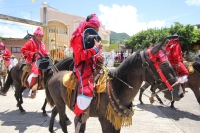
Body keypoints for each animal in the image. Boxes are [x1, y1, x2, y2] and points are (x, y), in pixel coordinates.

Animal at [45, 37, 184, 133]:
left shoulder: (116, 120)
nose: (180, 93)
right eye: (164, 64)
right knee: (62, 121)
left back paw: (51, 129)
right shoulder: (105, 121)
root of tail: (54, 75)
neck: (117, 87)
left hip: (61, 102)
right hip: (60, 103)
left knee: (55, 112)